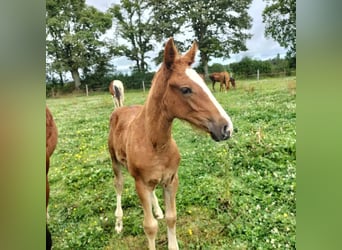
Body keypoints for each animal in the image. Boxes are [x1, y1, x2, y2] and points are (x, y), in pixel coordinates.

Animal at [108, 37, 234, 250]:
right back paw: (118, 223)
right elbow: (149, 226)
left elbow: (171, 217)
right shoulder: (140, 183)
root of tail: (119, 109)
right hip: (115, 162)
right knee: (118, 185)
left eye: (205, 83)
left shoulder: (171, 180)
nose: (227, 128)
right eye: (185, 89)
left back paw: (157, 210)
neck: (155, 144)